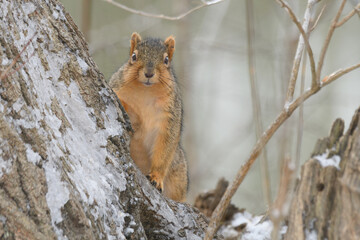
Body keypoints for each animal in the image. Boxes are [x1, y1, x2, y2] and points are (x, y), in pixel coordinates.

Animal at [109, 31, 188, 201]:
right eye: (133, 56)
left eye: (166, 60)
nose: (149, 73)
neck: (146, 92)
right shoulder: (117, 87)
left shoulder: (170, 119)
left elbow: (164, 149)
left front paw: (156, 177)